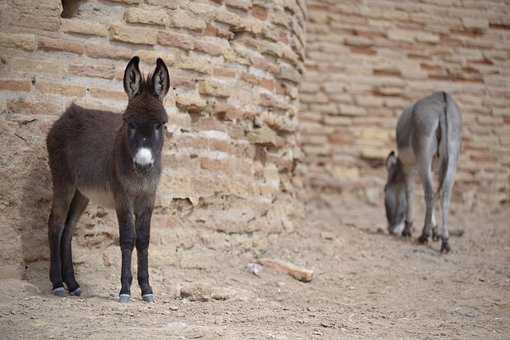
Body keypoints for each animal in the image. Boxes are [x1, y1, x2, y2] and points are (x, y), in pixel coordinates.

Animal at [46, 57, 169, 304]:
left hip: (81, 193)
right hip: (63, 181)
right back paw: (57, 284)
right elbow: (128, 239)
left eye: (160, 125)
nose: (143, 164)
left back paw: (73, 284)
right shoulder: (122, 198)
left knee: (68, 229)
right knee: (55, 224)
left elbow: (143, 240)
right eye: (130, 123)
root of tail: (68, 114)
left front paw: (147, 289)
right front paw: (125, 290)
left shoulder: (148, 198)